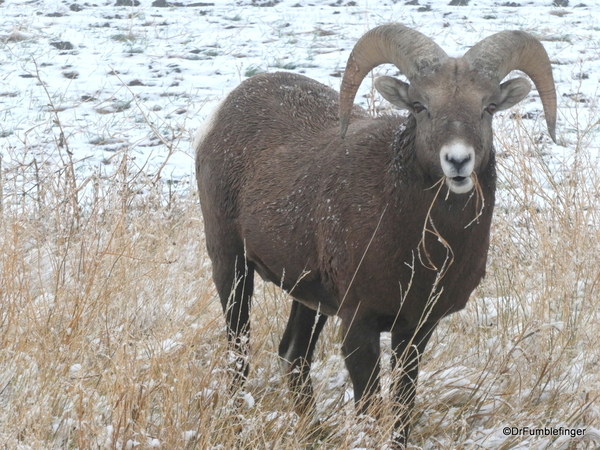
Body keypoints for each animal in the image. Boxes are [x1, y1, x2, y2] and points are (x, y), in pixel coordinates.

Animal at [195, 22, 556, 444]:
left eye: (489, 107)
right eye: (419, 106)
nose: (457, 161)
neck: (424, 251)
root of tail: (220, 114)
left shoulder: (415, 330)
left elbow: (401, 409)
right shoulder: (358, 326)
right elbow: (368, 407)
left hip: (307, 296)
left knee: (294, 355)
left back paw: (315, 434)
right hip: (232, 267)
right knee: (239, 356)